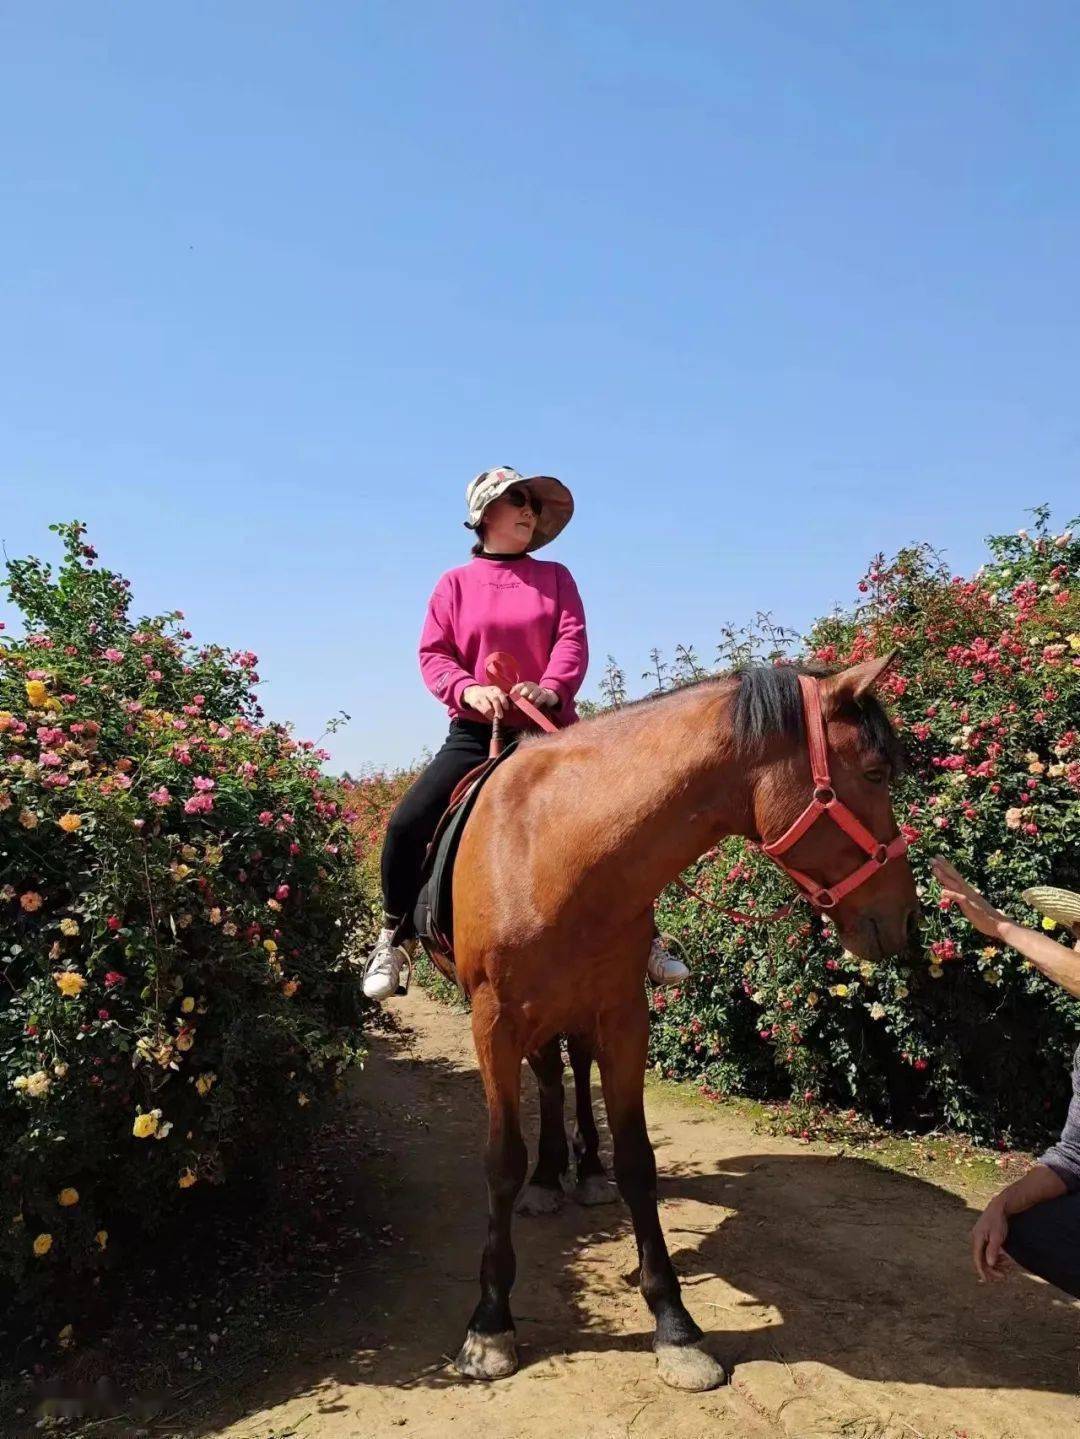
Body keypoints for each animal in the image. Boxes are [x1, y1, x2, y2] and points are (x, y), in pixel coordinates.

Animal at [451, 659, 914, 1387]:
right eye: (874, 772)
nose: (907, 918)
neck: (553, 851)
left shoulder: (623, 1016)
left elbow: (639, 1161)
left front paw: (673, 1322)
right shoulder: (493, 1023)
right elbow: (501, 1161)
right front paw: (491, 1320)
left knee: (567, 1074)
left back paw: (577, 1172)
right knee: (550, 1080)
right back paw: (548, 1178)